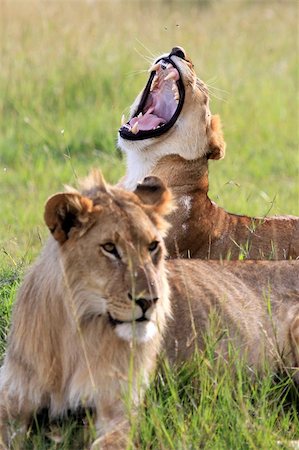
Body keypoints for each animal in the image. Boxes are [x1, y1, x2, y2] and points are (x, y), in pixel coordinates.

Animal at [0, 171, 299, 448]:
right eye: (110, 248)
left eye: (153, 246)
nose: (150, 301)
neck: (77, 331)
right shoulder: (13, 401)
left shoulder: (119, 408)